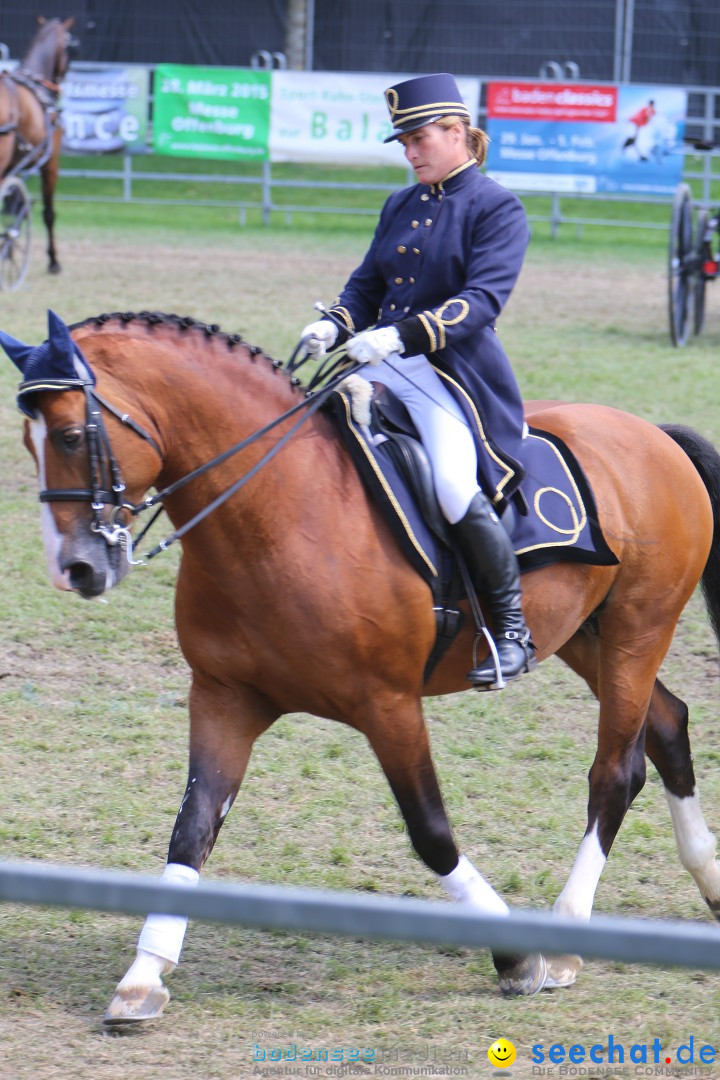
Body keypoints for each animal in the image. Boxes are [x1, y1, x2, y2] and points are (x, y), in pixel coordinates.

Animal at [0, 17, 76, 274]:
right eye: (70, 46)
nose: (60, 84)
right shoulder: (50, 164)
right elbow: (48, 212)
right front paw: (53, 260)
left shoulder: (14, 166)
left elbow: (15, 205)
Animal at [4, 311, 720, 1019]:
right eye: (28, 442)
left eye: (71, 434)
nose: (76, 569)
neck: (276, 511)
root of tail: (650, 434)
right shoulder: (224, 698)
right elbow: (193, 827)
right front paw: (144, 975)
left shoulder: (388, 705)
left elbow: (431, 832)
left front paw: (515, 957)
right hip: (581, 635)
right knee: (667, 724)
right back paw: (710, 884)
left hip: (637, 630)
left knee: (617, 771)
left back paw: (568, 937)